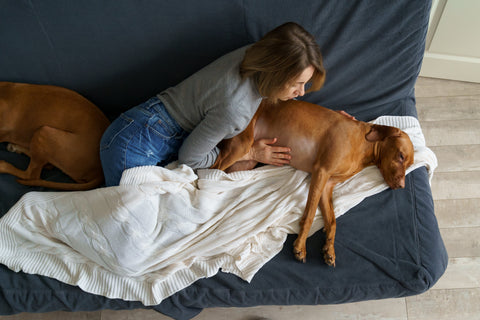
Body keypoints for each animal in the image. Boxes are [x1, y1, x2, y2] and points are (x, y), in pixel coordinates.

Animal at [212, 99, 414, 264]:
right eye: (400, 156)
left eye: (409, 164)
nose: (401, 186)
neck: (363, 146)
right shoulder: (321, 172)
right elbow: (309, 215)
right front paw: (300, 246)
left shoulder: (327, 185)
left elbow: (332, 222)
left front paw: (329, 249)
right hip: (240, 146)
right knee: (209, 170)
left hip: (245, 162)